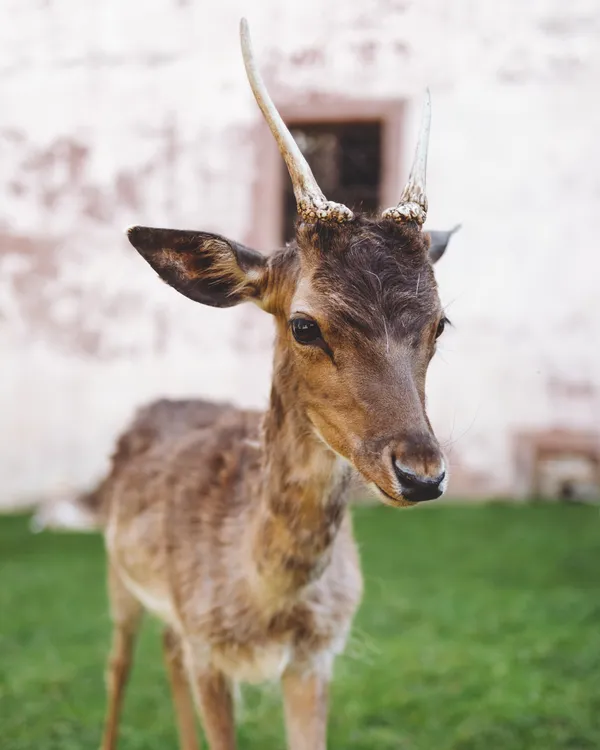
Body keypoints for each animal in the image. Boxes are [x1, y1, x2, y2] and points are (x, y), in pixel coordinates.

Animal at [95, 17, 460, 750]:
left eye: (442, 322)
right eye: (303, 324)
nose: (423, 473)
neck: (265, 599)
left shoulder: (317, 656)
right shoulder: (210, 646)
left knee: (165, 654)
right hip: (117, 571)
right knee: (118, 663)